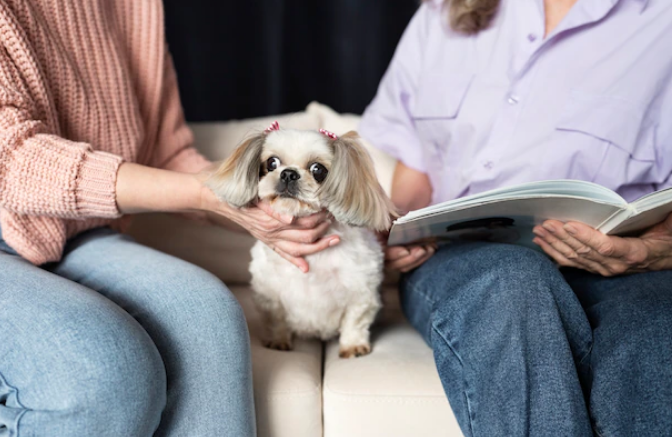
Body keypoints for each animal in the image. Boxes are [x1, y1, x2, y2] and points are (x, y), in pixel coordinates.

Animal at [205, 121, 394, 356]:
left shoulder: (361, 292)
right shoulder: (269, 293)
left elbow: (355, 322)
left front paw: (353, 345)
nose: (288, 173)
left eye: (317, 169)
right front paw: (278, 340)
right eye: (272, 162)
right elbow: (276, 319)